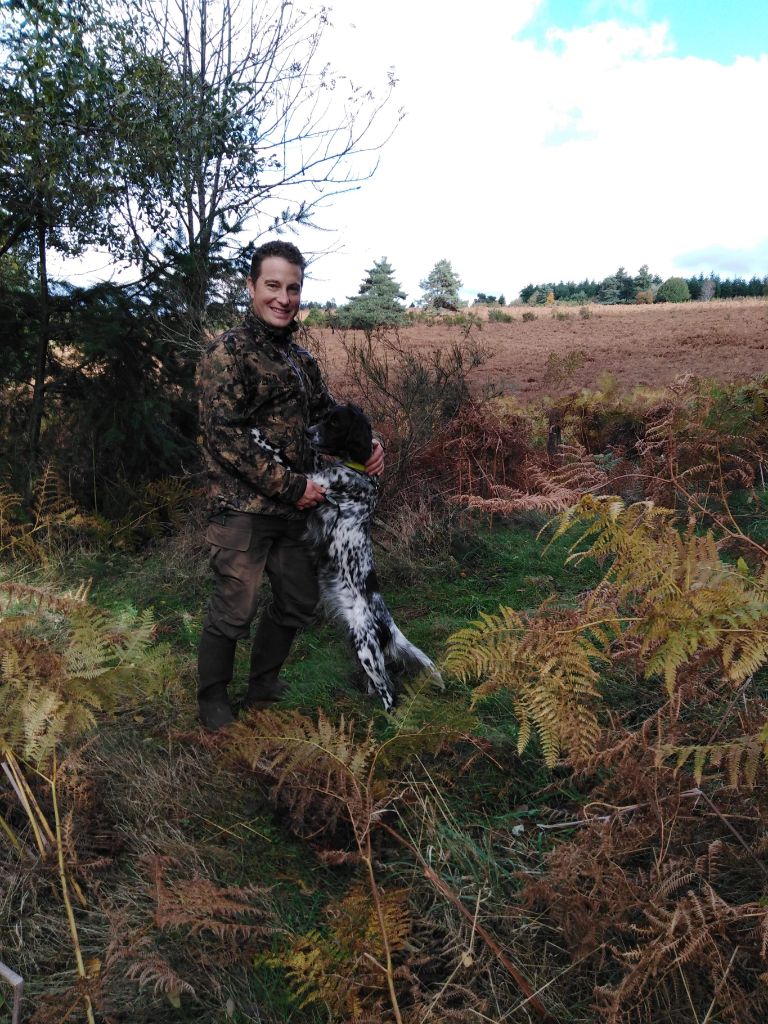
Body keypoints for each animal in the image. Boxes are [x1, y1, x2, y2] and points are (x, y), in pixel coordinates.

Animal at [253, 403, 442, 708]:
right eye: (323, 417)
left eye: (334, 423)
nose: (308, 431)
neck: (358, 469)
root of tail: (387, 622)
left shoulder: (313, 483)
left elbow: (281, 457)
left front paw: (258, 436)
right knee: (378, 684)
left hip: (367, 650)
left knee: (389, 692)